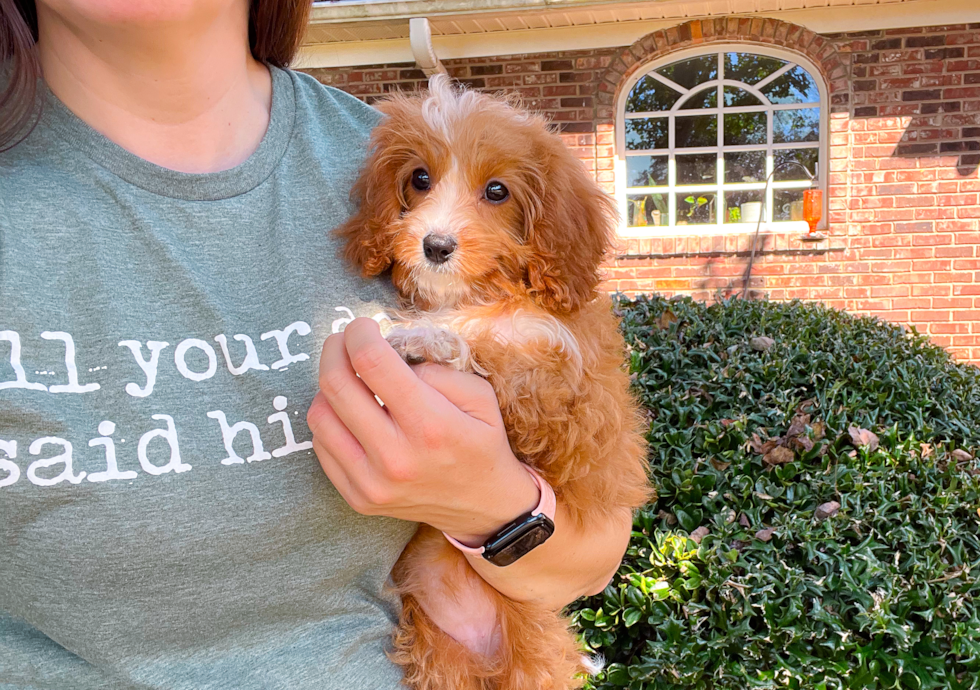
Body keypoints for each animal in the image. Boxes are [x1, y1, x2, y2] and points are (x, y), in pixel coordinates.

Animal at [336, 75, 652, 688]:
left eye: (498, 191)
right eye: (420, 178)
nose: (435, 245)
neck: (488, 293)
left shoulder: (567, 407)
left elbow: (503, 354)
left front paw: (423, 337)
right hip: (441, 658)